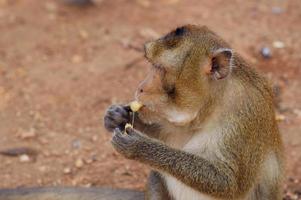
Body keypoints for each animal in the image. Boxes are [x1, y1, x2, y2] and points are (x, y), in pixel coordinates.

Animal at [0, 25, 282, 200]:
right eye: (150, 64)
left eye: (161, 70)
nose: (141, 87)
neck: (213, 105)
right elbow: (170, 132)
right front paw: (118, 116)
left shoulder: (245, 115)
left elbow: (229, 183)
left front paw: (141, 147)